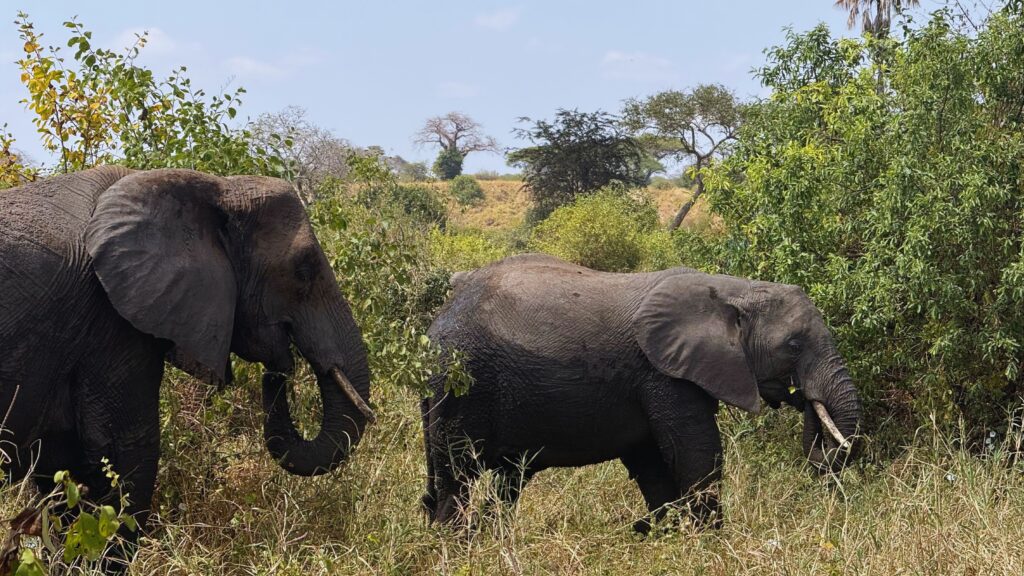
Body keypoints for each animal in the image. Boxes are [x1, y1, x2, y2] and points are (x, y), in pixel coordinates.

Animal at [0, 166, 375, 533]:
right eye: (304, 269)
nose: (279, 366)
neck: (217, 186)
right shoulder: (111, 321)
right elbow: (127, 454)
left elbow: (61, 473)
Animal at [421, 254, 860, 532]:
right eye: (794, 346)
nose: (804, 398)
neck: (733, 289)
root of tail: (440, 317)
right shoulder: (662, 373)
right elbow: (696, 454)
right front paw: (711, 544)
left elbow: (653, 463)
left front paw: (668, 538)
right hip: (461, 381)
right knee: (457, 476)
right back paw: (454, 545)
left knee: (502, 482)